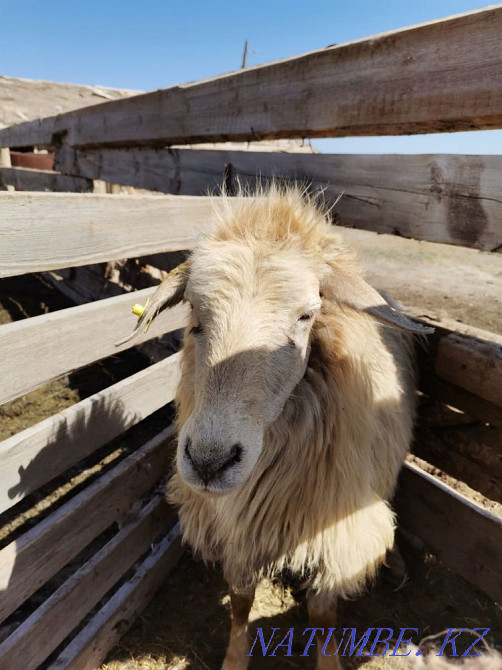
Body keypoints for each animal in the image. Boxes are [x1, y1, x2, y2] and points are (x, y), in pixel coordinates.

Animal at [125, 186, 433, 669]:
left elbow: (323, 615)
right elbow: (240, 602)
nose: (209, 462)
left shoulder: (334, 532)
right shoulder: (239, 528)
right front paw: (235, 659)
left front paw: (329, 662)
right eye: (195, 314)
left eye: (307, 316)